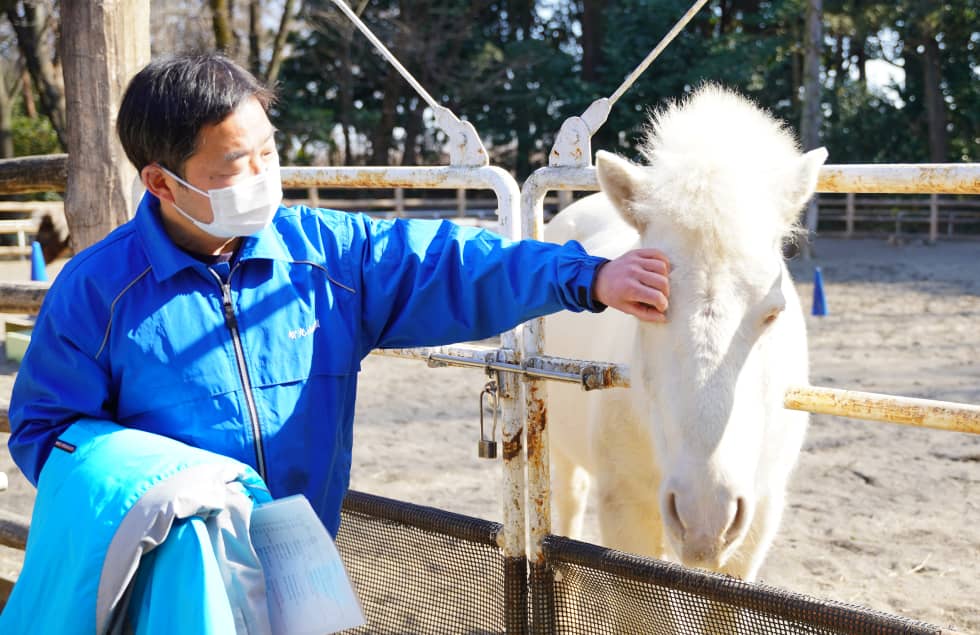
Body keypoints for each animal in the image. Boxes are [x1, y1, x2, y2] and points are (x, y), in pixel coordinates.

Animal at [544, 84, 828, 580]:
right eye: (644, 307)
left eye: (774, 312)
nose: (705, 516)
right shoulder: (626, 512)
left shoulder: (757, 521)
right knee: (569, 501)